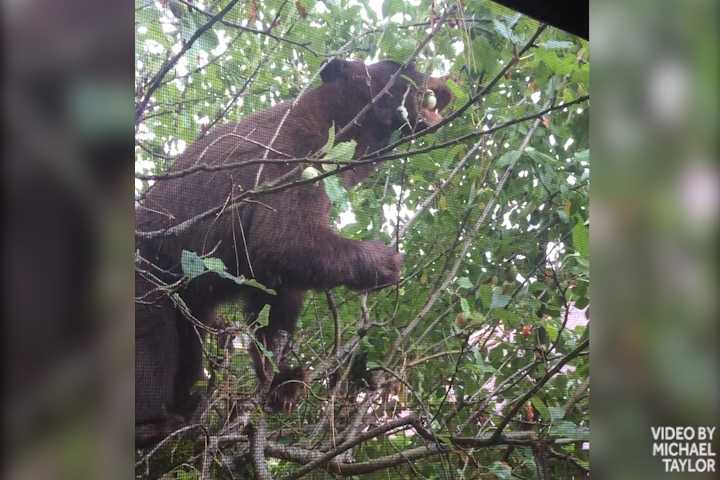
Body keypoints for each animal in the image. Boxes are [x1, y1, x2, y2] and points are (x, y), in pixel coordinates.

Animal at [134, 58, 452, 445]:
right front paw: (385, 261)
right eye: (398, 66)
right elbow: (283, 241)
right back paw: (153, 422)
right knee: (151, 342)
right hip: (150, 275)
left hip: (187, 302)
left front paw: (283, 381)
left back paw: (186, 404)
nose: (441, 83)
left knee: (188, 346)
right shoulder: (294, 161)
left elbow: (274, 296)